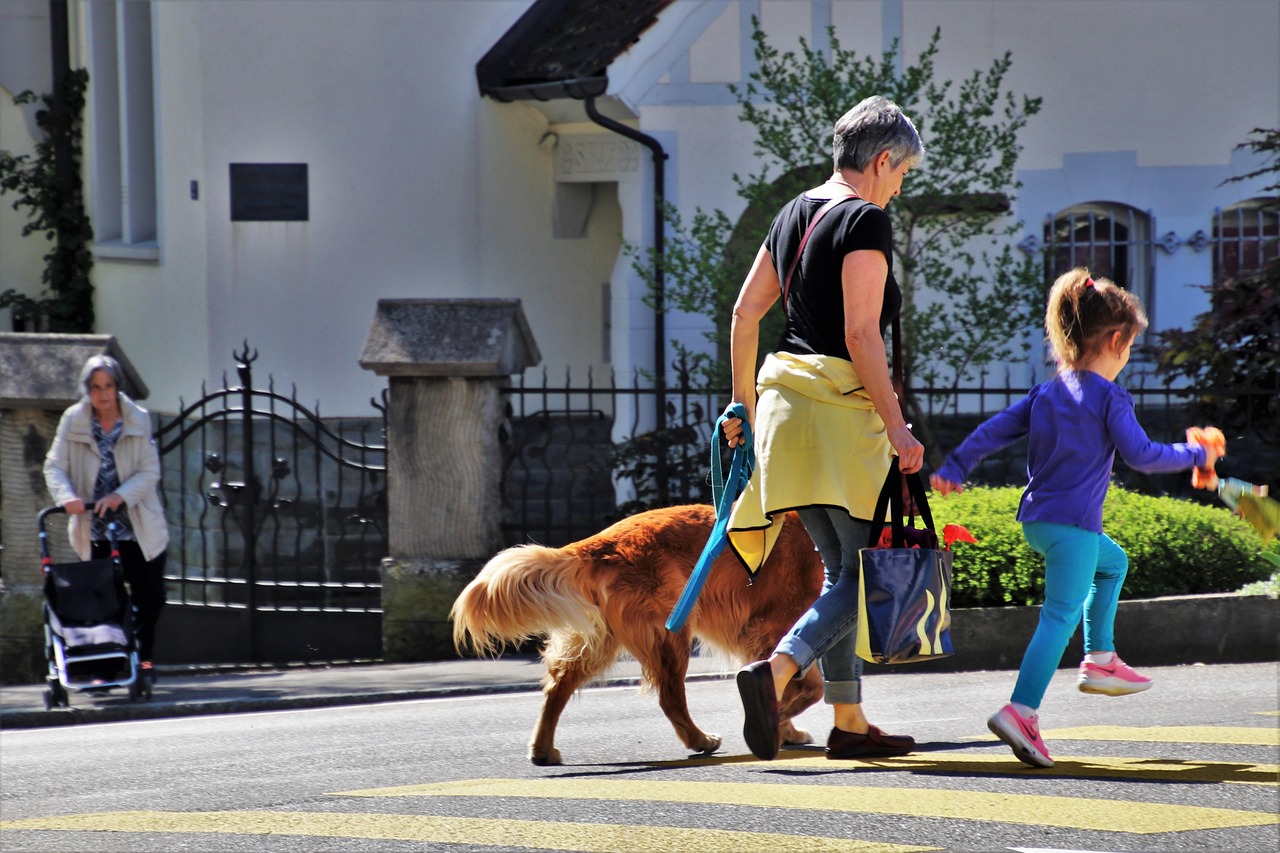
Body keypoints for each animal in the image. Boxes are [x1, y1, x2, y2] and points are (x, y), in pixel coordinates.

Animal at [455, 504, 824, 763]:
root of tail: (599, 544)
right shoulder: (776, 626)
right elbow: (807, 686)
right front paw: (778, 722)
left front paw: (783, 728)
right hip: (670, 632)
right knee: (670, 697)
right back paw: (700, 740)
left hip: (600, 640)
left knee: (557, 687)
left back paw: (543, 749)